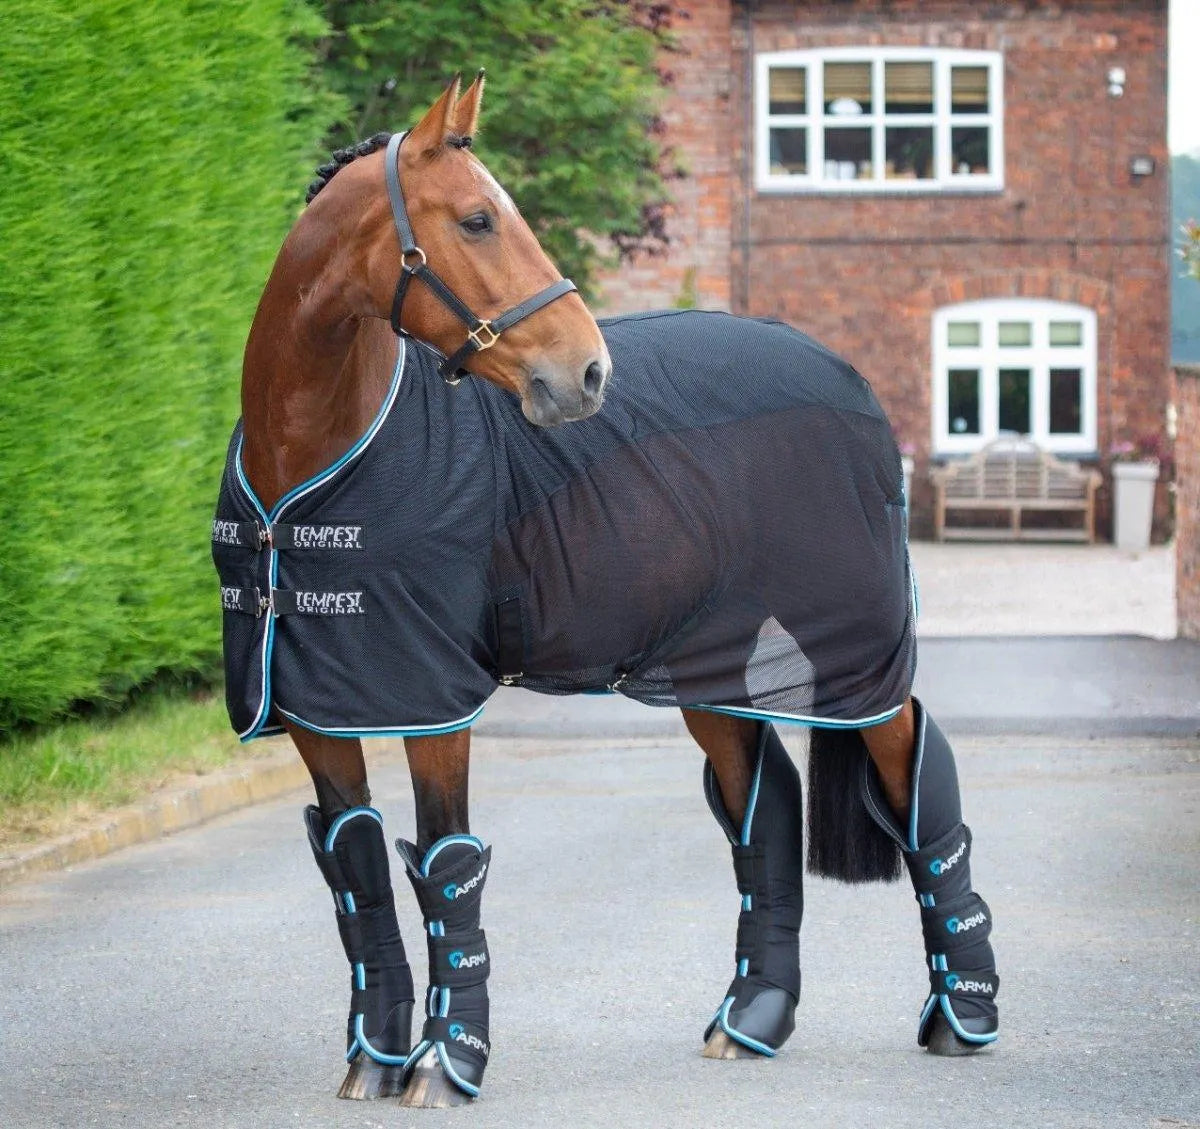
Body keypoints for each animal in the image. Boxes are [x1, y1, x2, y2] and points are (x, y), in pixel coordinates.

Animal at [213, 74, 1000, 1108]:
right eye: (475, 218)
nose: (584, 372)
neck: (310, 465)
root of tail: (848, 377)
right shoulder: (316, 705)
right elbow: (356, 866)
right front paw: (373, 1058)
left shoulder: (434, 704)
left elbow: (446, 866)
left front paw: (449, 1063)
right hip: (715, 670)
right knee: (762, 812)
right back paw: (752, 1018)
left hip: (855, 659)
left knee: (915, 788)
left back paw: (965, 1013)